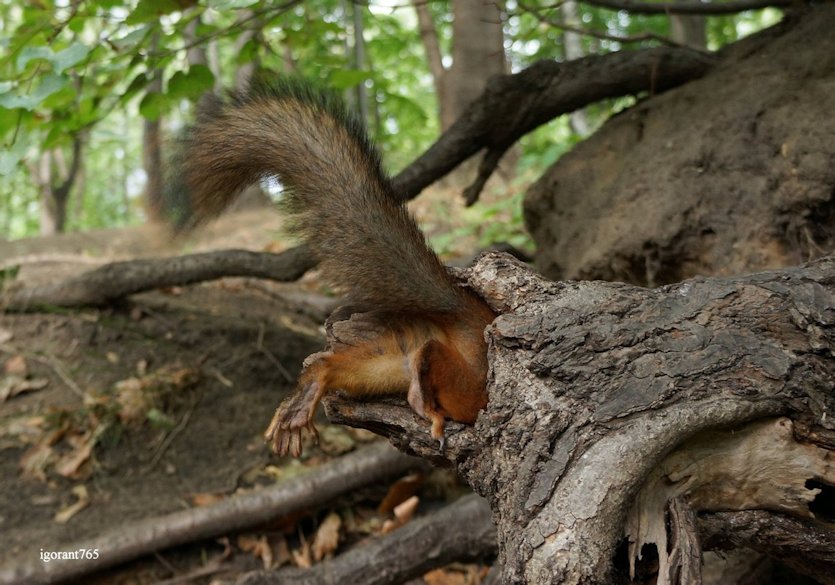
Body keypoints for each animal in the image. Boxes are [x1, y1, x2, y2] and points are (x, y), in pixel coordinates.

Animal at [169, 78, 496, 456]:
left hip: (396, 360)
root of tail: (468, 315)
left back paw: (304, 398)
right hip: (466, 382)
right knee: (433, 376)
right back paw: (429, 412)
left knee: (341, 364)